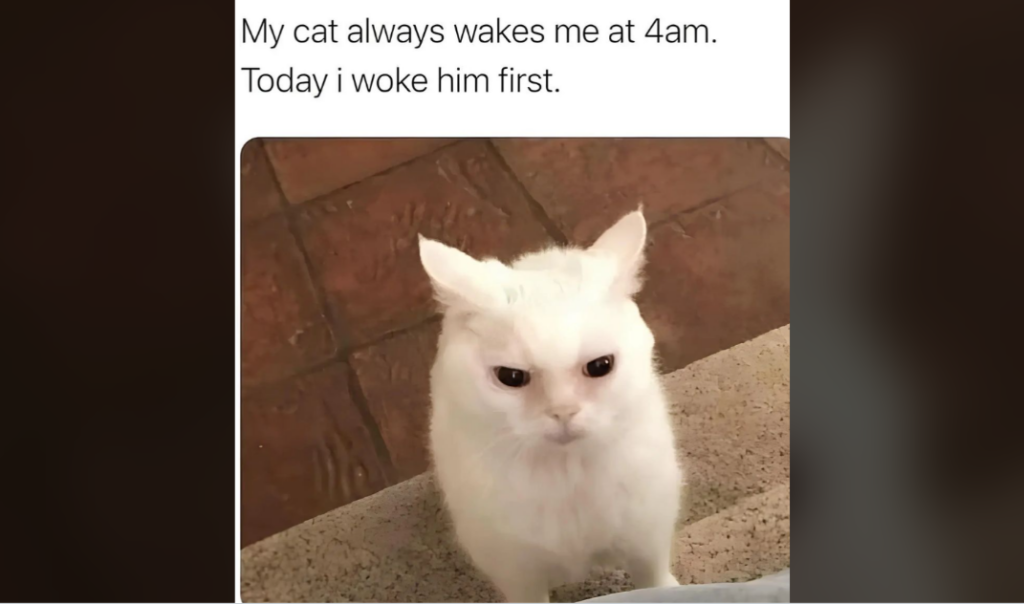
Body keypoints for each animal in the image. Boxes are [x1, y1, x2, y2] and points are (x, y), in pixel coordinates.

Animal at [415, 210, 688, 601]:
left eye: (600, 366)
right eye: (511, 377)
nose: (562, 412)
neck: (564, 473)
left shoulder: (646, 533)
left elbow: (654, 578)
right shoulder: (516, 571)